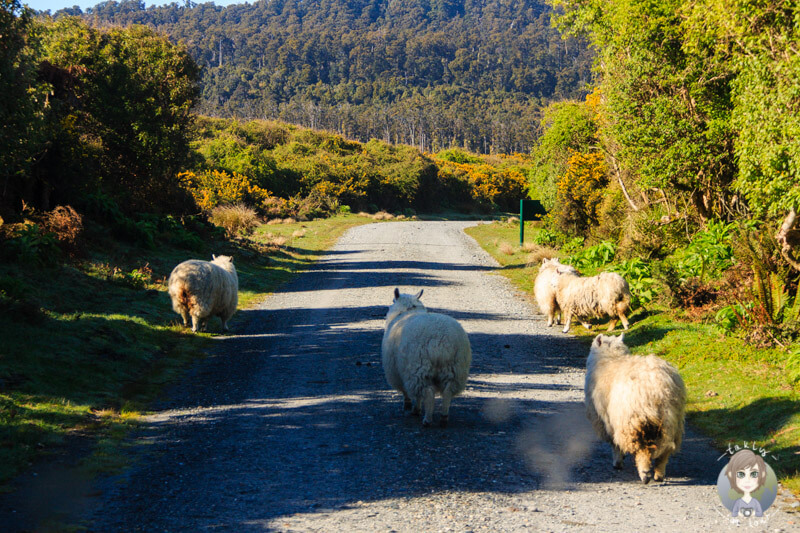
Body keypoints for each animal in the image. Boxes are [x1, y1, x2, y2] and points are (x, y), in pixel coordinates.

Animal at [380, 288, 468, 426]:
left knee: (427, 393)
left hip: (419, 369)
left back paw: (427, 419)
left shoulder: (397, 372)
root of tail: (441, 342)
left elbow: (407, 392)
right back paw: (444, 417)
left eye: (393, 300)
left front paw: (409, 406)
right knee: (447, 392)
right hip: (455, 369)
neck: (408, 311)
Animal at [580, 332, 688, 482]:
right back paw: (659, 474)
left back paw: (645, 473)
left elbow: (614, 443)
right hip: (671, 421)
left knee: (642, 449)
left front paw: (618, 462)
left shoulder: (608, 420)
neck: (611, 358)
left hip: (634, 420)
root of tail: (659, 387)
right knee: (666, 448)